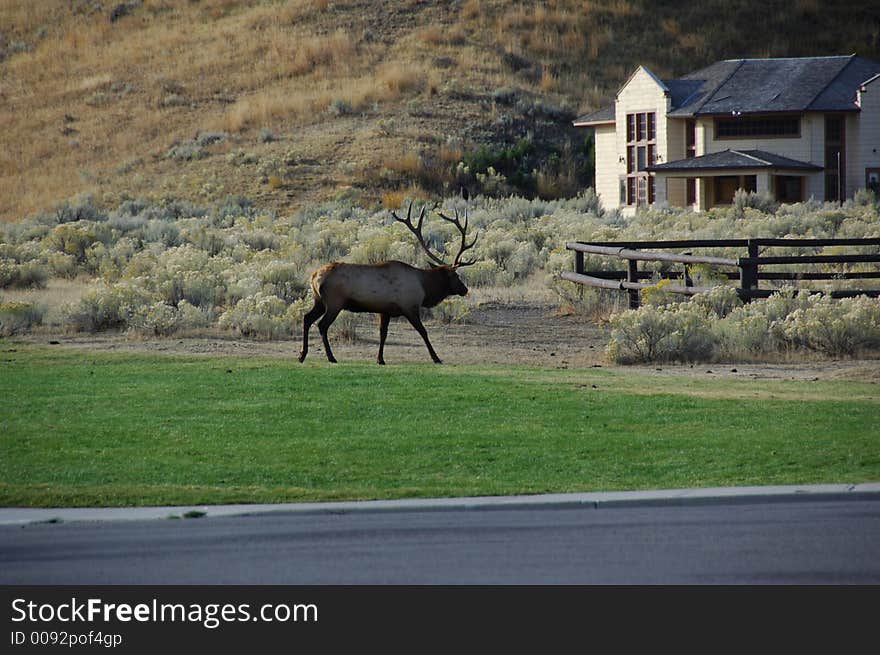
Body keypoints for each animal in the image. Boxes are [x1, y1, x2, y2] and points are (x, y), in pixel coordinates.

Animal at [300, 201, 478, 364]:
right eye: (455, 275)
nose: (465, 289)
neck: (424, 287)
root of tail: (314, 277)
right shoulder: (409, 306)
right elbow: (423, 331)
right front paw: (436, 358)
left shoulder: (384, 310)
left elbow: (383, 334)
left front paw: (380, 359)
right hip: (334, 302)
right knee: (322, 325)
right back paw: (331, 357)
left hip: (319, 301)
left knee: (307, 318)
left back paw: (302, 355)